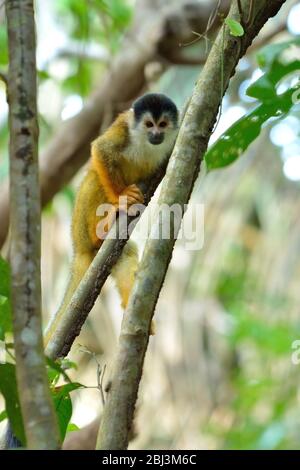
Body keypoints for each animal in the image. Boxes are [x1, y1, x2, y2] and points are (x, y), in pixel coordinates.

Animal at [44, 92, 178, 346]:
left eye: (163, 124)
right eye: (149, 124)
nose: (157, 134)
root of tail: (78, 250)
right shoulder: (124, 128)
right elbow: (101, 150)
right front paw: (123, 198)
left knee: (126, 253)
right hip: (79, 229)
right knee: (94, 176)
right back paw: (101, 230)